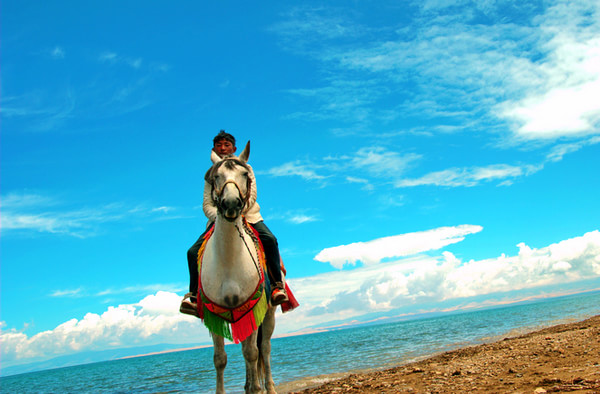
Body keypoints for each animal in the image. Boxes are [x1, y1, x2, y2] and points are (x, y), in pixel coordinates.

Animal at [200, 142, 278, 394]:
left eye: (245, 174)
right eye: (216, 177)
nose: (232, 204)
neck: (229, 262)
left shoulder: (252, 307)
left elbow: (253, 353)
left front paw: (257, 389)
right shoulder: (213, 315)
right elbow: (219, 359)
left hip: (269, 312)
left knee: (264, 349)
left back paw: (268, 387)